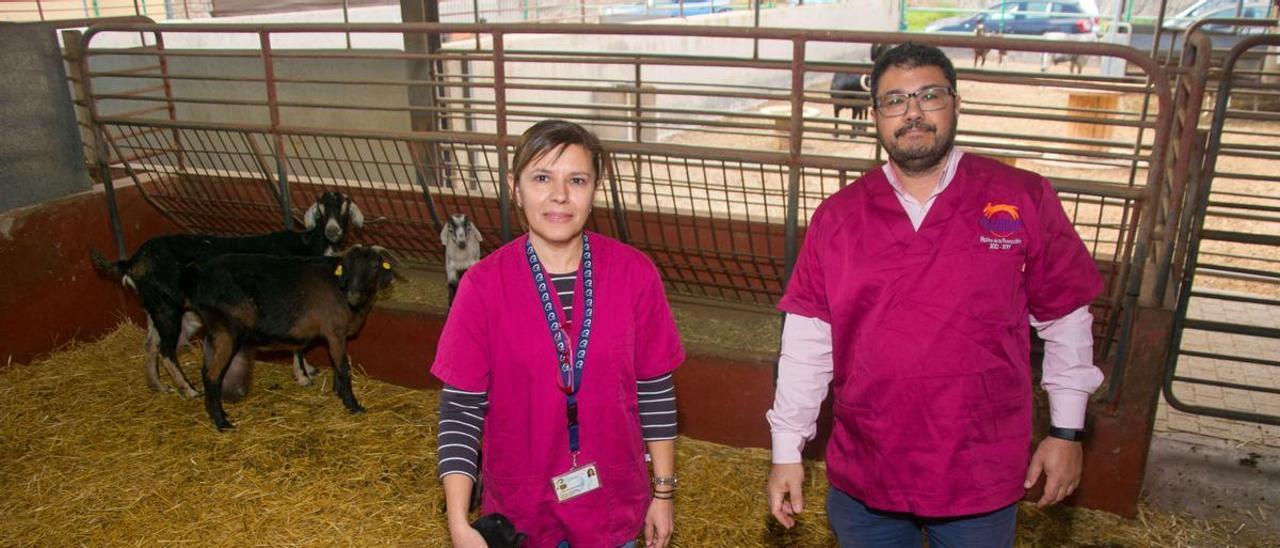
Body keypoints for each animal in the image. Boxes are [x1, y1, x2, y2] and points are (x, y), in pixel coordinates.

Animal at [90, 192, 363, 396]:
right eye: (321, 207)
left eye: (345, 205)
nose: (333, 230)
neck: (308, 245)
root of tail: (133, 262)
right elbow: (297, 341)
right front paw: (302, 376)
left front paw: (307, 369)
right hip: (166, 306)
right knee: (166, 350)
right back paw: (189, 390)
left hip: (155, 305)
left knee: (150, 345)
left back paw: (157, 386)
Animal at [183, 245, 396, 430]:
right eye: (348, 267)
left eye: (375, 267)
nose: (354, 295)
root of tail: (200, 277)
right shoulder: (334, 331)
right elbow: (343, 367)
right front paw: (352, 404)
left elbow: (337, 366)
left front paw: (338, 392)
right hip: (227, 329)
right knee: (212, 375)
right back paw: (222, 423)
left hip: (216, 331)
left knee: (206, 370)